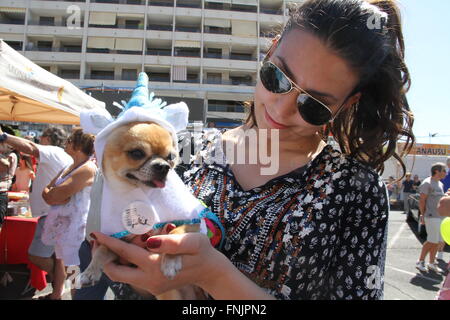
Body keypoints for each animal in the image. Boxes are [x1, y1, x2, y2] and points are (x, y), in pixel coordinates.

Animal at [78, 122, 205, 300]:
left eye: (171, 157)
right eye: (137, 153)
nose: (164, 166)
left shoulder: (192, 224)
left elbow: (175, 234)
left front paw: (170, 261)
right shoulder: (119, 246)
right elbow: (101, 251)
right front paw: (90, 271)